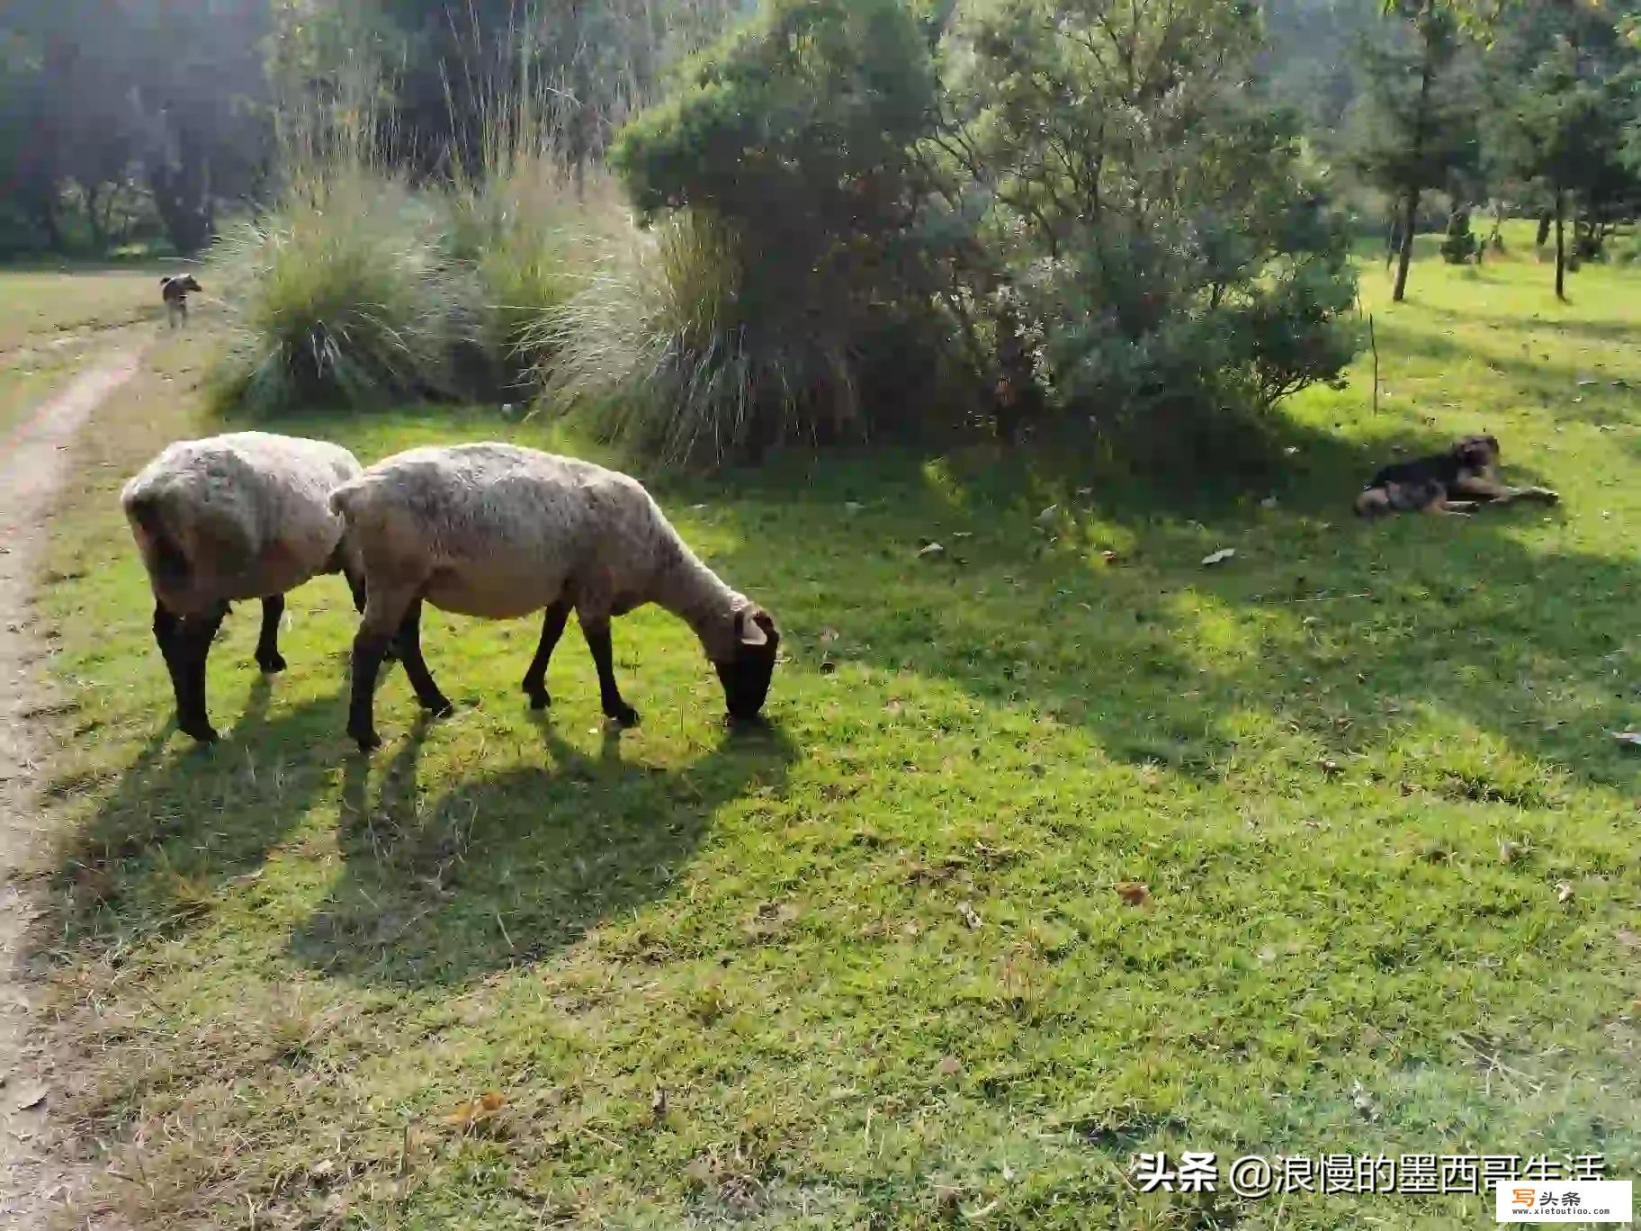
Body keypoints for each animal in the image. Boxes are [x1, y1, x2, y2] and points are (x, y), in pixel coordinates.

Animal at [119, 433, 370, 741]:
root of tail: (147, 498)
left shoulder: (272, 567)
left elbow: (274, 606)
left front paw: (268, 658)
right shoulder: (353, 550)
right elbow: (362, 596)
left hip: (171, 581)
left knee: (166, 632)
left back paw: (183, 713)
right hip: (208, 581)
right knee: (193, 646)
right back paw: (199, 726)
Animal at [328, 443, 781, 751]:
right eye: (756, 657)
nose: (746, 713)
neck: (659, 562)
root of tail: (351, 492)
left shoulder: (568, 584)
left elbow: (552, 632)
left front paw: (535, 689)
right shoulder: (596, 585)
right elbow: (600, 648)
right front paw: (619, 709)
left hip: (410, 582)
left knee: (405, 640)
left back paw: (435, 702)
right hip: (394, 576)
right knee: (368, 646)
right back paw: (364, 734)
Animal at [1358, 436, 1562, 518]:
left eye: (1476, 441)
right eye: (1470, 443)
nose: (1462, 447)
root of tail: (1376, 484)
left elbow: (1522, 488)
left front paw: (1545, 493)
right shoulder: (1466, 482)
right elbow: (1503, 490)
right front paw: (1503, 499)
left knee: (1438, 505)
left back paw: (1468, 506)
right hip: (1434, 482)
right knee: (1430, 510)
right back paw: (1461, 515)